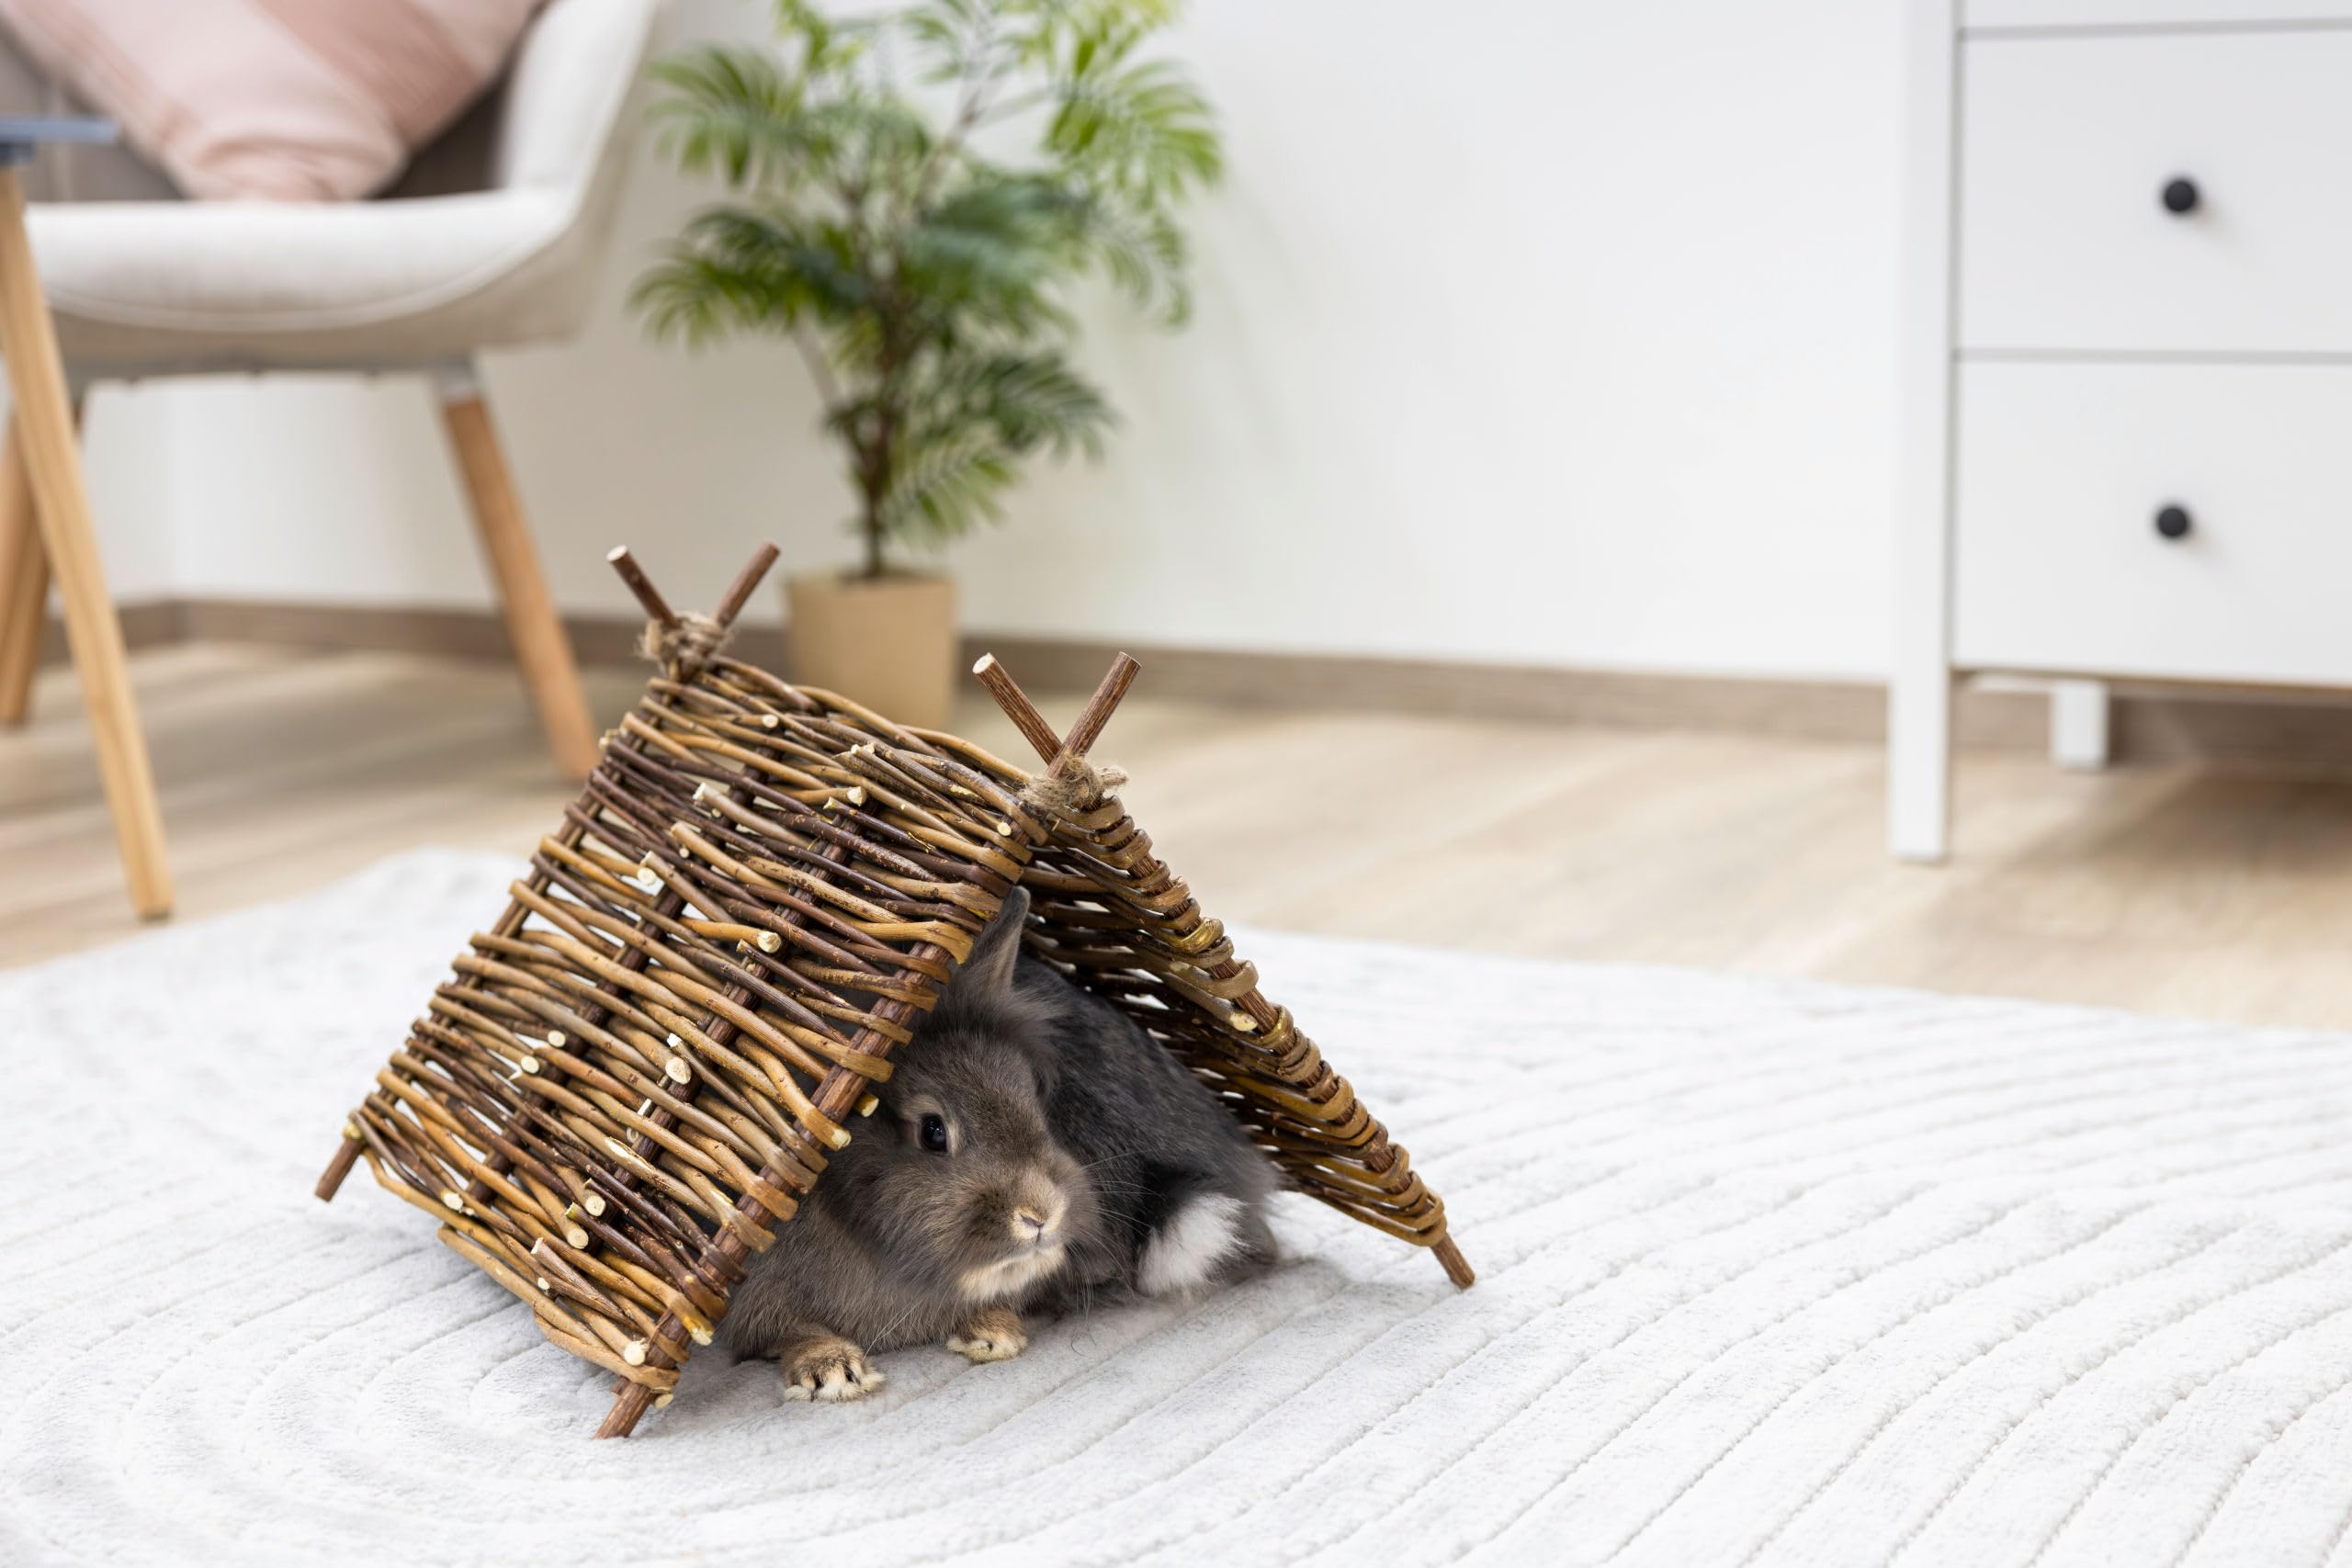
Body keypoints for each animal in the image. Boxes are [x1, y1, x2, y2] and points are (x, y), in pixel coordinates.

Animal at [723, 886, 1108, 1401]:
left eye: (1033, 1097)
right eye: (932, 1132)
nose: (1041, 1216)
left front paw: (995, 1332)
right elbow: (791, 1332)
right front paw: (832, 1371)